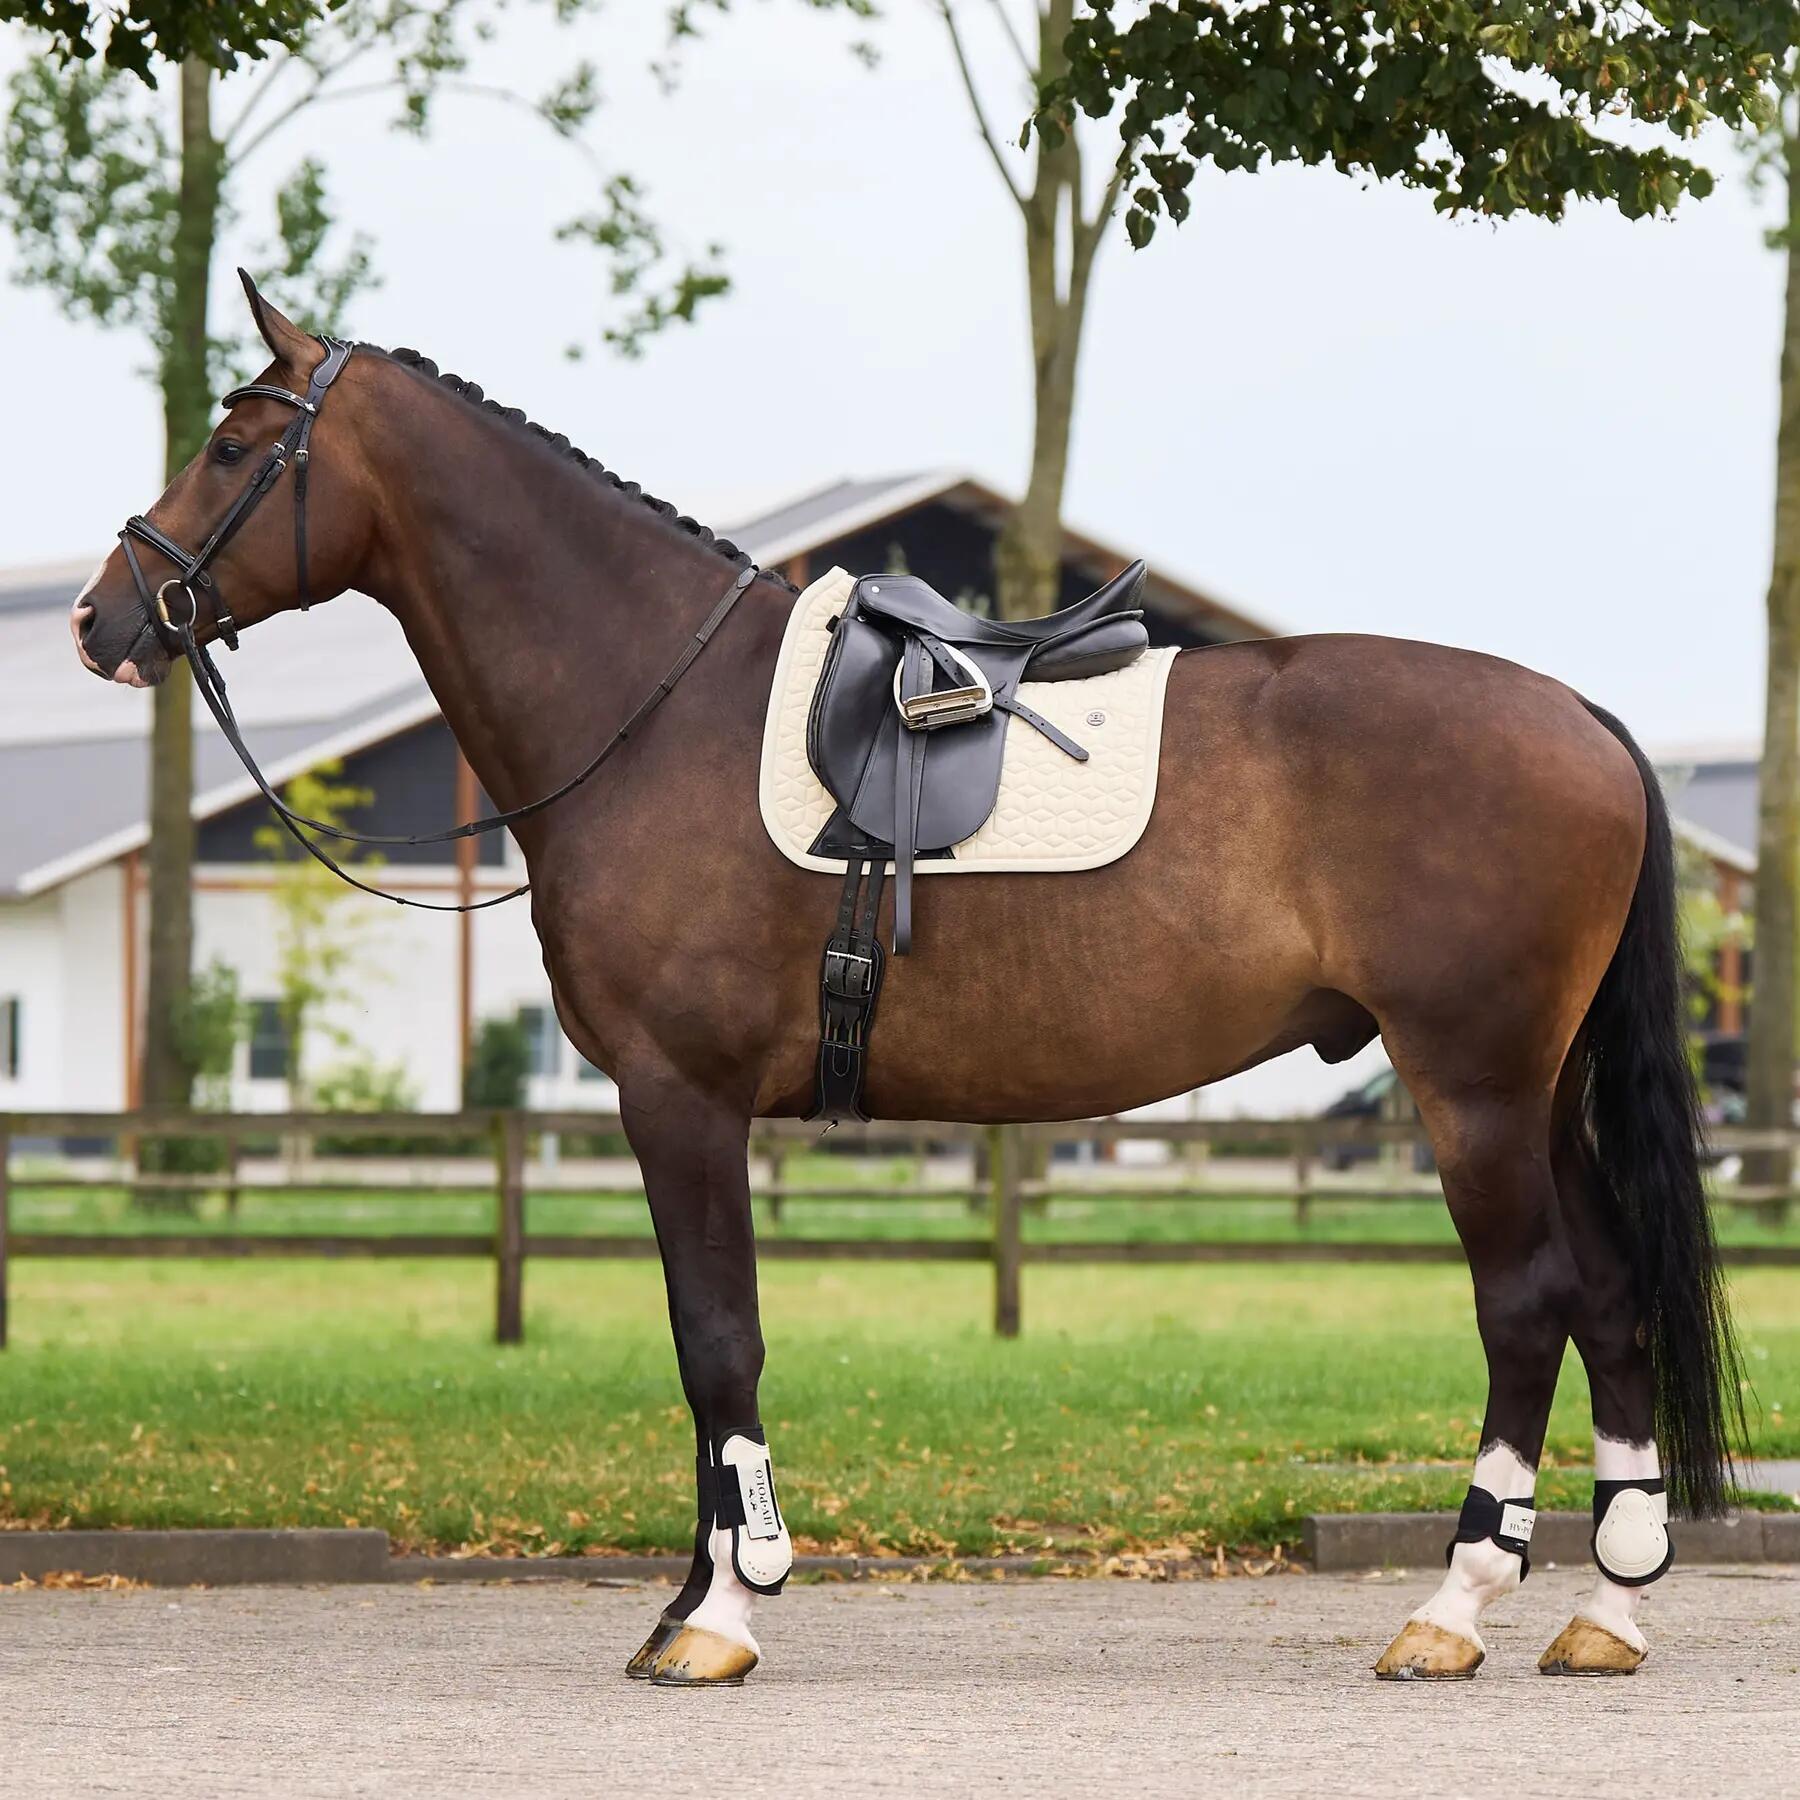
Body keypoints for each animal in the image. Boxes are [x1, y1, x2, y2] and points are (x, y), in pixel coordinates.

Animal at [69, 275, 1741, 1685]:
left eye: (233, 445)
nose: (99, 617)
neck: (650, 707)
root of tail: (1585, 719)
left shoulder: (681, 1100)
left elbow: (718, 1339)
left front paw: (725, 1612)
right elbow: (702, 1351)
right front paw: (689, 1602)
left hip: (1473, 1086)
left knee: (1526, 1304)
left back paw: (1453, 1609)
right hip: (1542, 1091)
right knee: (1608, 1295)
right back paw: (1604, 1612)